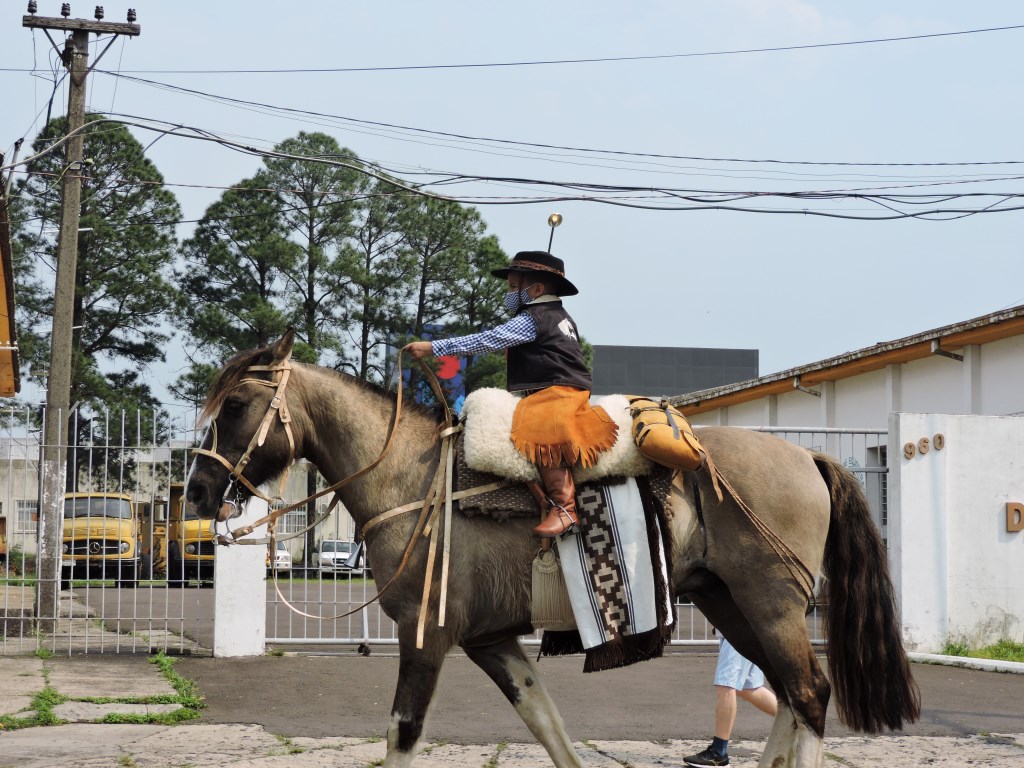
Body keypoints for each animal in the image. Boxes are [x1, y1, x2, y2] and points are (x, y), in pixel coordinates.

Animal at [184, 331, 921, 768]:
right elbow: (544, 719)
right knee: (792, 693)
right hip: (732, 602)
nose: (196, 490)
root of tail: (809, 454)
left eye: (237, 405)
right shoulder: (490, 639)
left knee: (810, 691)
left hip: (770, 602)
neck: (413, 481)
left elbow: (403, 732)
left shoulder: (427, 636)